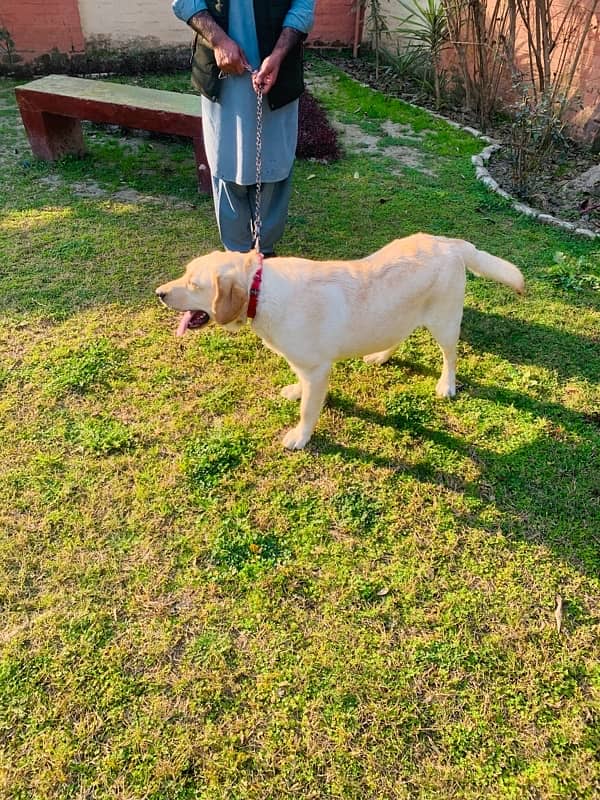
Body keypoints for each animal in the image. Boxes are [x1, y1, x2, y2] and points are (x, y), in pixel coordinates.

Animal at [156, 233, 524, 450]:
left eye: (194, 284)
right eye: (185, 274)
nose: (159, 293)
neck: (260, 291)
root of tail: (449, 242)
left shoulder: (318, 369)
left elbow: (308, 410)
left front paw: (300, 436)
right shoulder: (304, 364)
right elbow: (301, 387)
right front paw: (296, 390)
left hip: (444, 322)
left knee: (450, 356)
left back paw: (446, 384)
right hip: (398, 314)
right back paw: (381, 356)